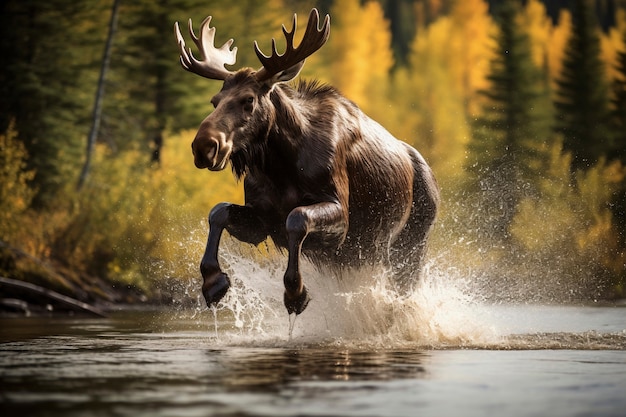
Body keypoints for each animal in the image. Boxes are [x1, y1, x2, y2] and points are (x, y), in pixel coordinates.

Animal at [173, 8, 438, 314]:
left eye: (248, 99)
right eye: (214, 100)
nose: (204, 146)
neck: (281, 167)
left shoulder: (340, 222)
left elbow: (297, 218)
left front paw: (295, 292)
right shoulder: (262, 220)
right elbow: (218, 211)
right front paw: (213, 282)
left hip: (408, 247)